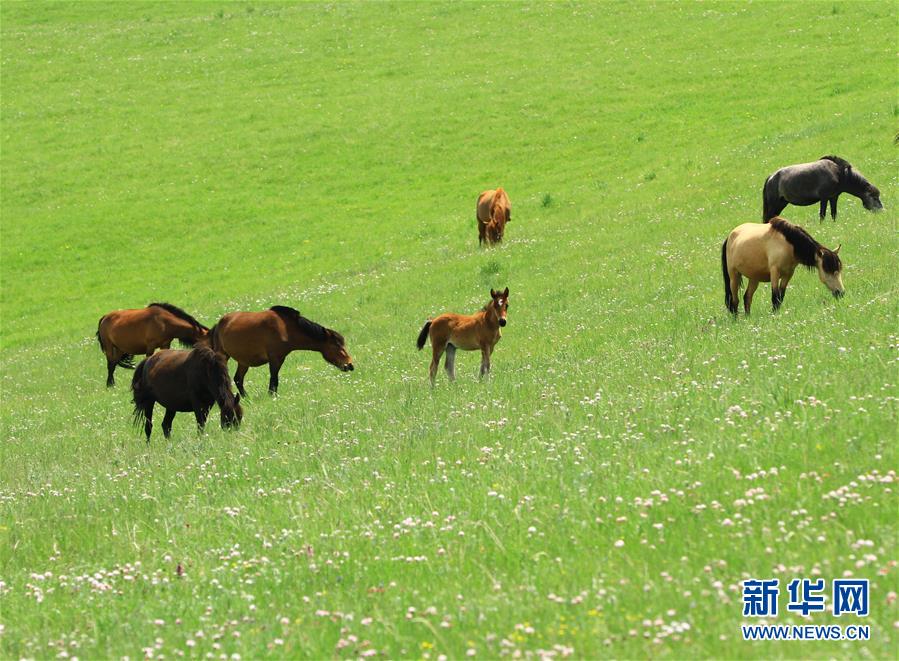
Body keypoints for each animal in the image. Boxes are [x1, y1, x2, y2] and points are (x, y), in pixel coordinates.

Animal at [210, 305, 353, 397]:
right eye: (337, 346)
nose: (350, 365)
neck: (285, 328)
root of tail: (219, 323)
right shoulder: (274, 358)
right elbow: (274, 379)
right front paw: (271, 396)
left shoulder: (280, 358)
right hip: (223, 356)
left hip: (243, 361)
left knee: (238, 379)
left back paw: (246, 397)